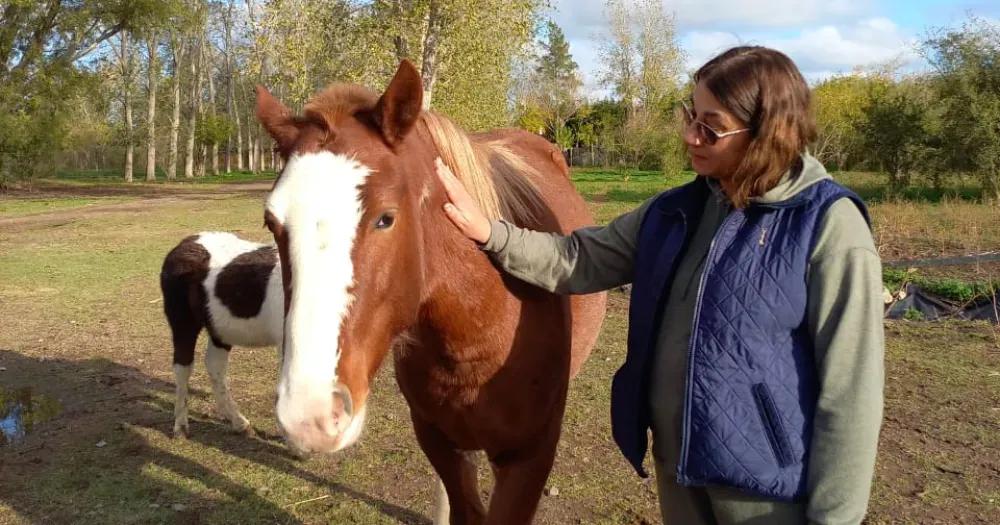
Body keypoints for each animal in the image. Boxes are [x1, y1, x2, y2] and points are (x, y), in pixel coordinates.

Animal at [161, 231, 284, 436]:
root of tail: (186, 242)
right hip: (183, 322)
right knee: (183, 366)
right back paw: (181, 426)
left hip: (220, 329)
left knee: (215, 366)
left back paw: (238, 422)